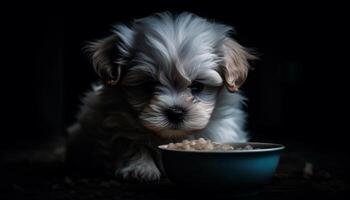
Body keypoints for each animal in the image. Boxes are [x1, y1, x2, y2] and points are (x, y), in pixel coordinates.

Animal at [67, 12, 256, 181]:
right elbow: (131, 143)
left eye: (197, 86)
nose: (175, 112)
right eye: (149, 86)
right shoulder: (116, 123)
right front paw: (140, 168)